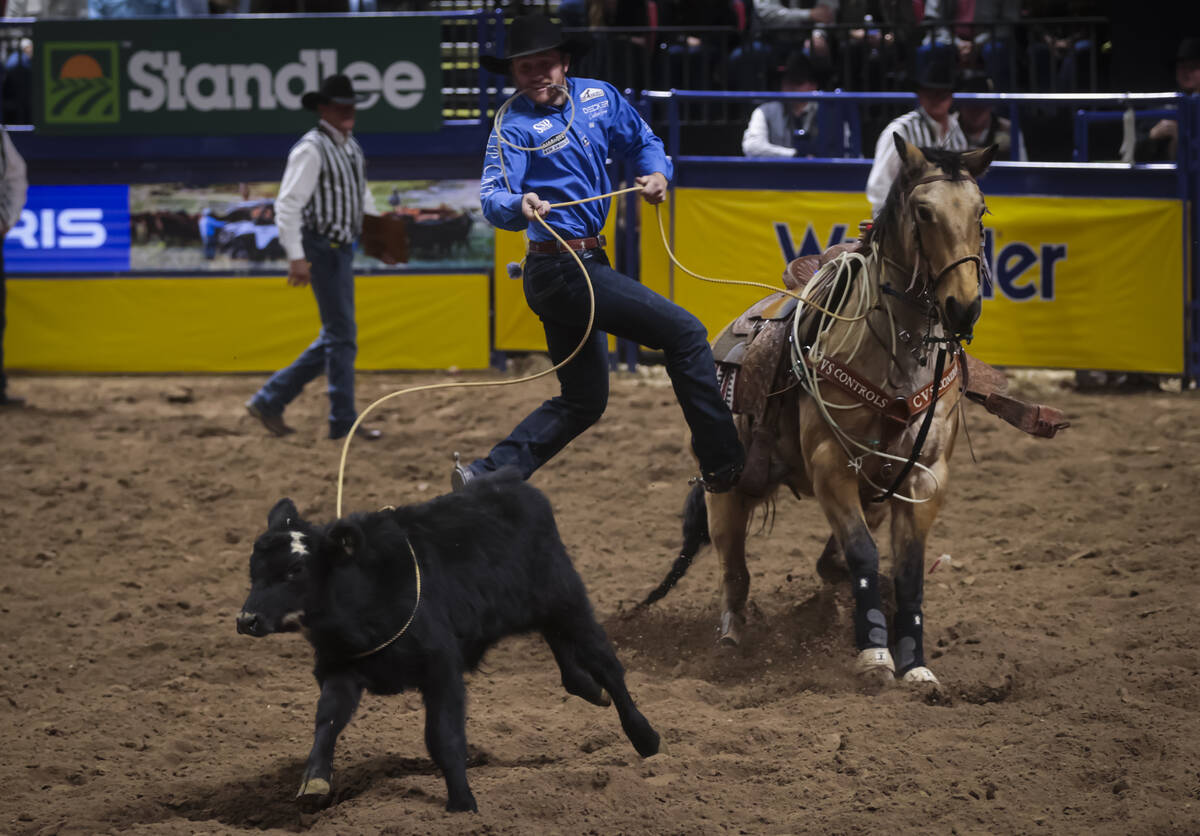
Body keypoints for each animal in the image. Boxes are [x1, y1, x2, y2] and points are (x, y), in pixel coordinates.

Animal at [232, 472, 657, 810]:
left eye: (295, 569)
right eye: (253, 570)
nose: (247, 619)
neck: (368, 596)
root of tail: (511, 483)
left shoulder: (441, 670)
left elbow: (443, 736)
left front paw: (462, 803)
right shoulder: (340, 669)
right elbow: (327, 720)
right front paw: (315, 780)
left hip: (568, 601)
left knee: (607, 666)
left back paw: (645, 737)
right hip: (540, 609)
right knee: (565, 656)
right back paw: (589, 688)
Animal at [643, 136, 1065, 686]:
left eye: (981, 211)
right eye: (924, 212)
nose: (963, 307)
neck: (896, 355)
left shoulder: (924, 476)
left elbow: (907, 568)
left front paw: (915, 662)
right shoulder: (831, 465)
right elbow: (864, 552)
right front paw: (875, 654)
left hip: (872, 494)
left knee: (825, 562)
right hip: (729, 487)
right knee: (736, 571)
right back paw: (731, 644)